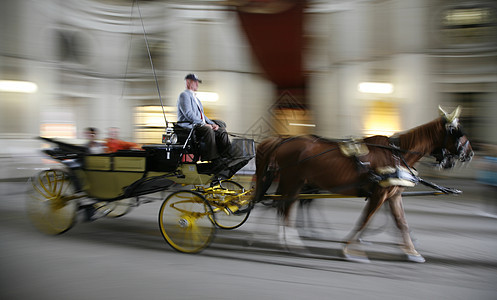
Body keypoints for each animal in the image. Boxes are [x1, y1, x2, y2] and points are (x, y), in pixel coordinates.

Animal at [254, 106, 470, 262]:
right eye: (456, 131)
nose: (470, 153)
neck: (396, 154)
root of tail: (283, 140)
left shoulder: (393, 194)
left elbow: (401, 222)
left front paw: (412, 251)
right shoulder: (380, 194)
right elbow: (365, 220)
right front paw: (350, 249)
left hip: (297, 183)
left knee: (283, 206)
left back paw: (286, 239)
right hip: (294, 181)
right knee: (286, 207)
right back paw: (291, 241)